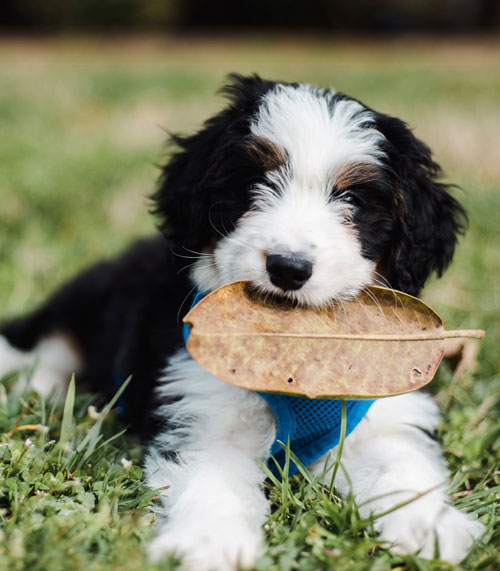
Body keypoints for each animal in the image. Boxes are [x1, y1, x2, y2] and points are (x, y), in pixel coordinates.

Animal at [0, 75, 484, 568]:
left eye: (351, 198)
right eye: (255, 182)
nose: (288, 268)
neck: (296, 354)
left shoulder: (384, 409)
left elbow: (401, 469)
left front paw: (428, 528)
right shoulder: (202, 413)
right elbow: (214, 485)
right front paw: (210, 544)